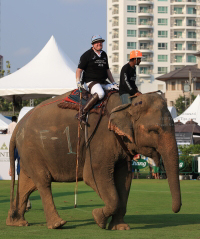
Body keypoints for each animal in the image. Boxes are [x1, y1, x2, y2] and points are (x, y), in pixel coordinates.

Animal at [6, 92, 181, 230]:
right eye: (154, 131)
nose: (173, 210)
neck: (127, 103)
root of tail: (18, 126)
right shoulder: (99, 139)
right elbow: (94, 176)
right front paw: (98, 217)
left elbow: (125, 179)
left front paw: (120, 227)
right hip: (32, 150)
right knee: (43, 182)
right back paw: (58, 224)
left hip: (29, 154)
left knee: (27, 185)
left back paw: (16, 222)